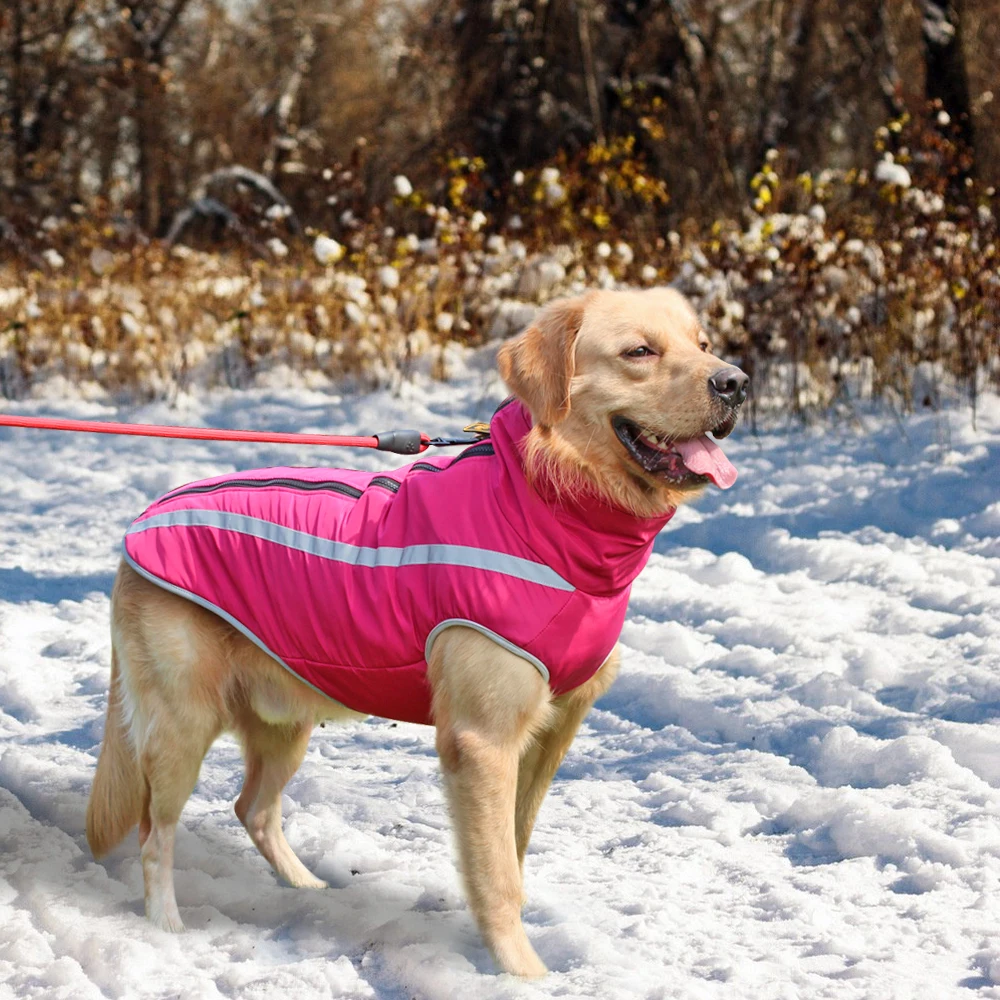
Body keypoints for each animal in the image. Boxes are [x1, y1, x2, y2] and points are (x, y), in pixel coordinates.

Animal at [86, 288, 748, 976]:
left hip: (284, 721)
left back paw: (306, 888)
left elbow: (512, 849)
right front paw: (524, 975)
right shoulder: (484, 741)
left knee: (253, 809)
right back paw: (166, 927)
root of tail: (140, 525)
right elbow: (499, 876)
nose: (736, 383)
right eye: (640, 351)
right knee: (154, 833)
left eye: (703, 344)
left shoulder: (549, 736)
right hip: (182, 727)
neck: (543, 503)